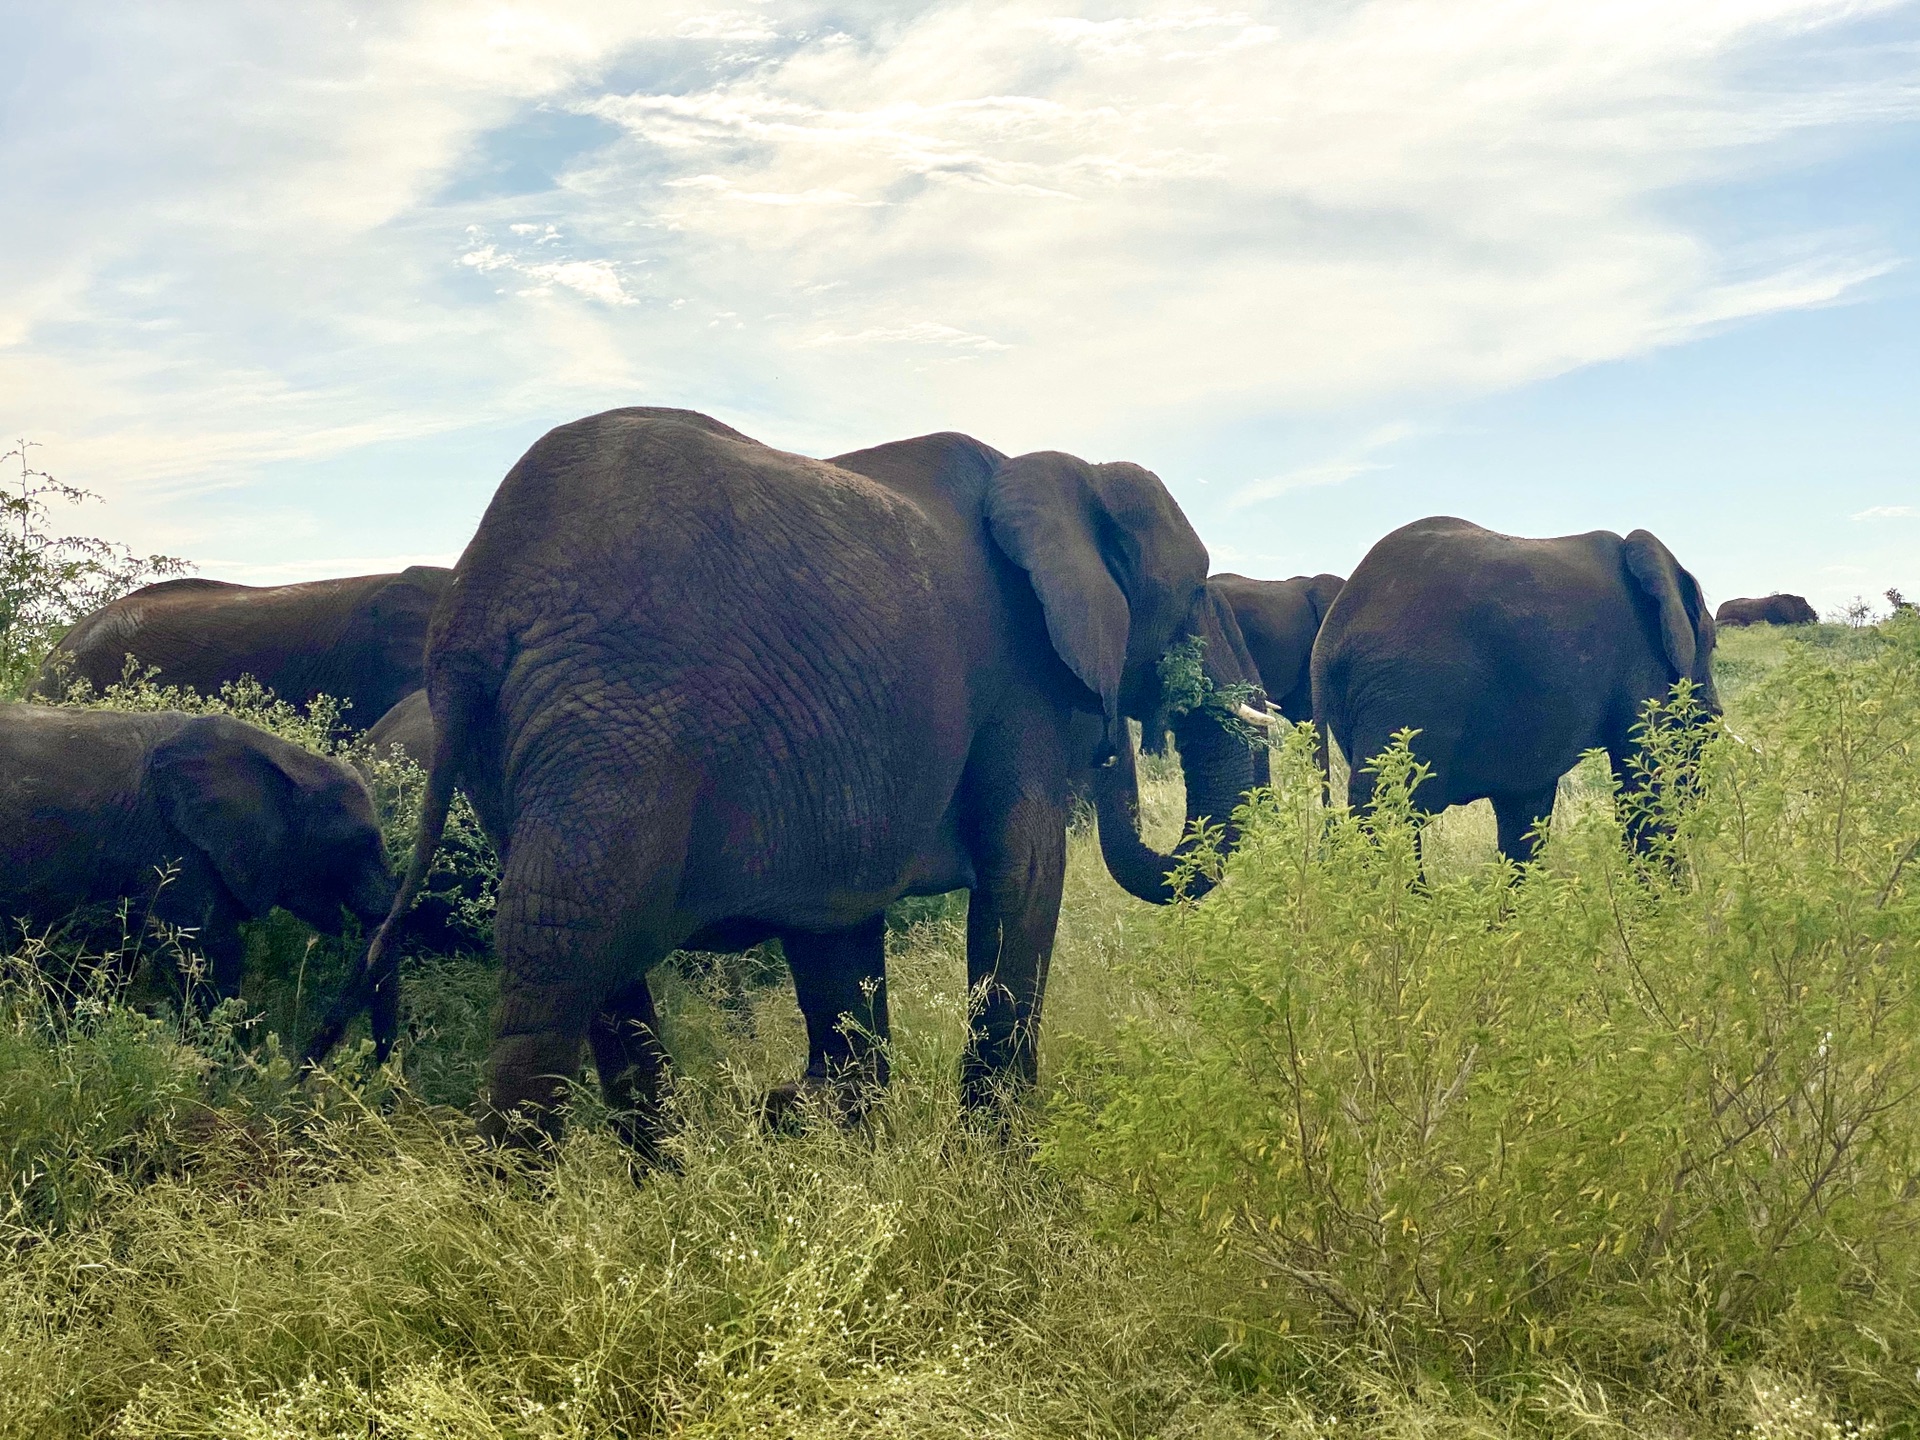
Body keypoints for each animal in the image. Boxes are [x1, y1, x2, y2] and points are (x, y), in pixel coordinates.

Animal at [311, 410, 1274, 1159]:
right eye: (1197, 591)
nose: (1118, 740)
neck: (1053, 472)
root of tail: (473, 609)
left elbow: (836, 926)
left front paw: (838, 1140)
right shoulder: (1021, 686)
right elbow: (1025, 879)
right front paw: (995, 1167)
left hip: (530, 747)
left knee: (591, 961)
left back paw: (665, 1190)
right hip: (616, 721)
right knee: (562, 948)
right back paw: (528, 1223)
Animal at [1313, 514, 1720, 864]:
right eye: (1712, 645)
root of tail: (1329, 634)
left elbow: (1525, 809)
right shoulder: (1640, 657)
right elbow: (1644, 780)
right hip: (1406, 692)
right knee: (1387, 811)